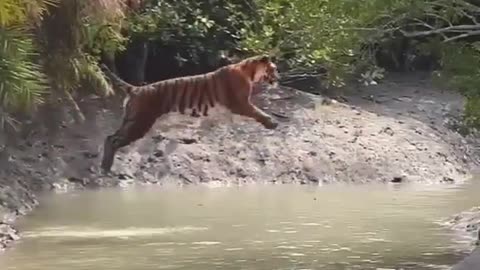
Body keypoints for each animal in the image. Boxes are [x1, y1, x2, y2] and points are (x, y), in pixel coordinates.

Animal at [100, 54, 282, 173]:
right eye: (274, 69)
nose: (279, 77)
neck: (249, 71)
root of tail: (135, 89)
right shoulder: (240, 104)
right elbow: (258, 112)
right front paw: (271, 123)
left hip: (131, 120)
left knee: (110, 137)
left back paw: (104, 166)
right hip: (140, 122)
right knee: (115, 140)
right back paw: (106, 168)